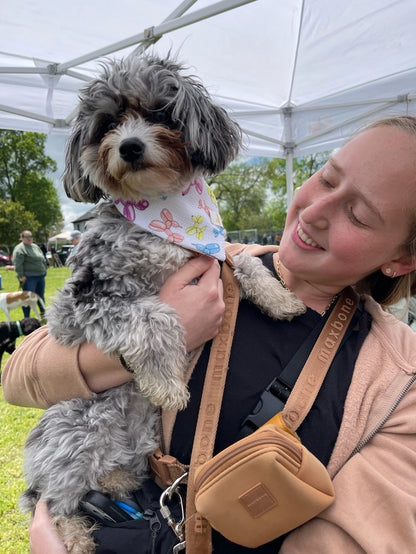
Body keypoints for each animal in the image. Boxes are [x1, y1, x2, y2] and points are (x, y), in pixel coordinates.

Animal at [18, 52, 306, 552]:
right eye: (108, 123)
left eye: (159, 113)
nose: (130, 147)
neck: (162, 209)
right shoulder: (81, 300)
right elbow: (155, 317)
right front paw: (167, 383)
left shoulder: (213, 256)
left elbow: (241, 260)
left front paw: (278, 297)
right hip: (71, 434)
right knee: (53, 503)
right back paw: (74, 538)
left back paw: (113, 485)